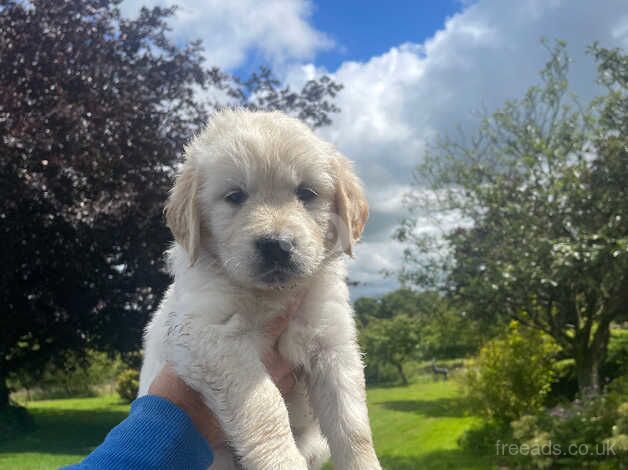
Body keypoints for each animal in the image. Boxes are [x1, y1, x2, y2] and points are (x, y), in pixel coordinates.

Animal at [139, 108, 380, 468]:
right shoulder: (214, 339)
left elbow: (352, 425)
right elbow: (264, 407)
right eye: (235, 196)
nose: (277, 246)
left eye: (306, 193)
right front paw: (282, 462)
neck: (274, 294)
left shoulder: (332, 343)